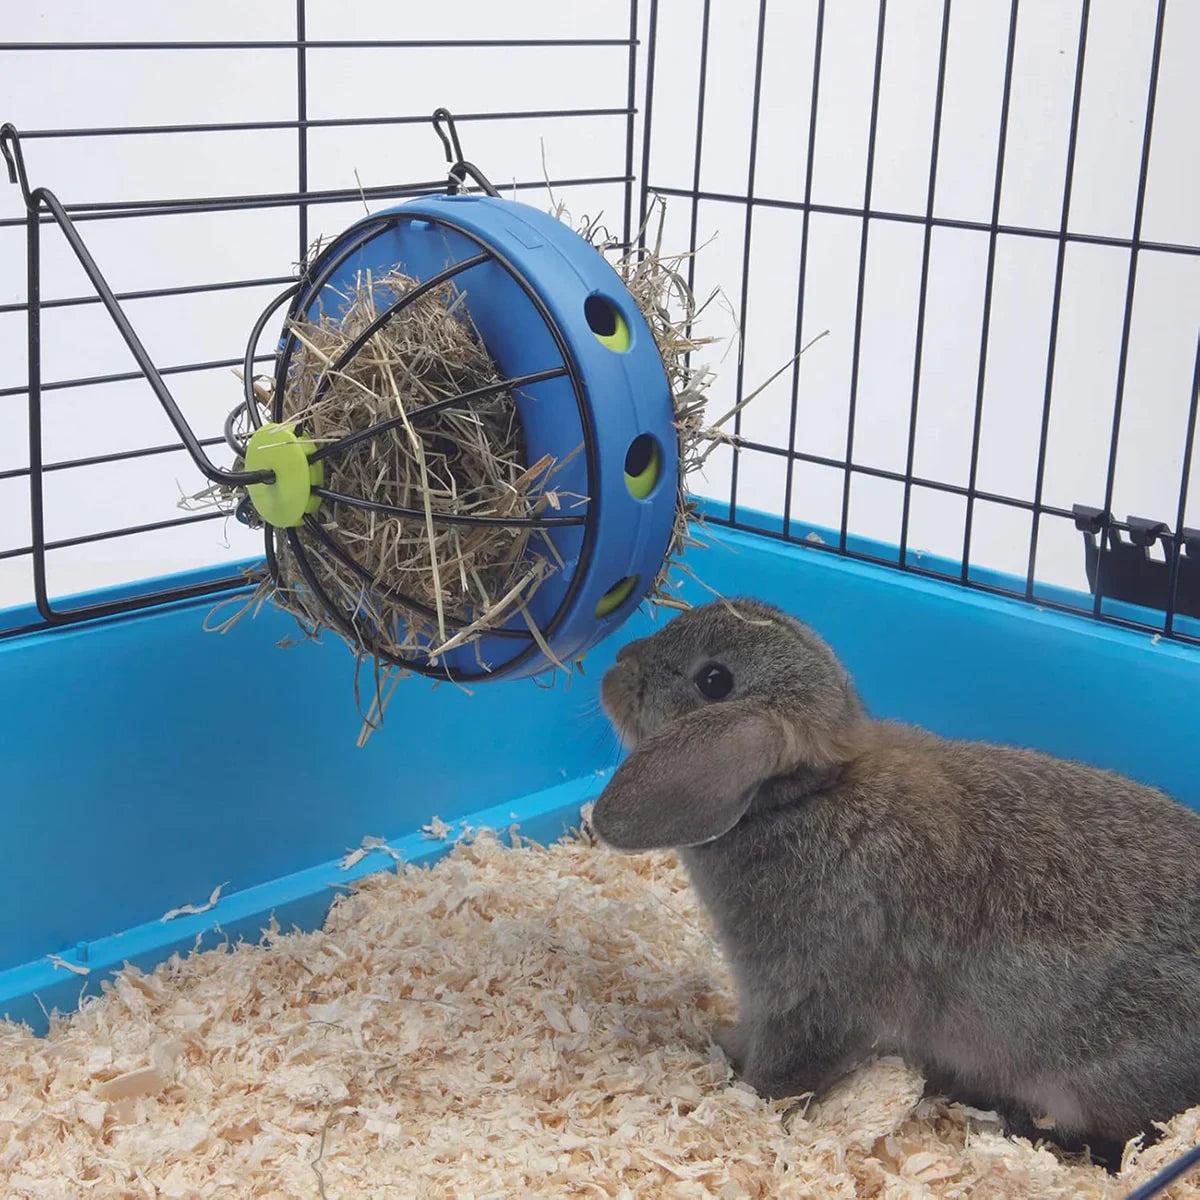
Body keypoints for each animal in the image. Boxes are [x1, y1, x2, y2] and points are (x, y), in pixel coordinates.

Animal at [590, 597, 1200, 1166]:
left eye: (714, 680)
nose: (618, 662)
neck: (802, 796)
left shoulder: (814, 1000)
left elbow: (788, 1069)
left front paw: (745, 1097)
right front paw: (720, 1045)